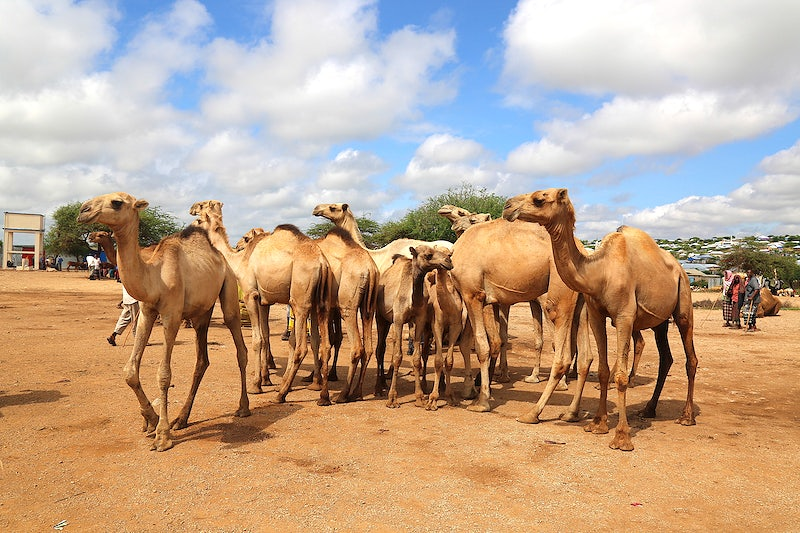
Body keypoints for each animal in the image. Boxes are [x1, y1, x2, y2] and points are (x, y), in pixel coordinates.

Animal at [77, 191, 250, 448]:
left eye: (116, 202)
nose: (82, 211)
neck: (154, 276)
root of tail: (222, 257)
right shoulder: (147, 311)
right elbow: (130, 371)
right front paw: (150, 419)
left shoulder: (172, 314)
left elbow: (164, 374)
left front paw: (162, 435)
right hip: (202, 313)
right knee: (202, 361)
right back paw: (182, 419)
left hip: (228, 288)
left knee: (239, 346)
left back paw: (243, 407)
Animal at [191, 200, 334, 404]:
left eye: (199, 219)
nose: (191, 214)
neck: (239, 260)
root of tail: (322, 262)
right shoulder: (264, 300)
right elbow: (266, 337)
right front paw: (265, 379)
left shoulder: (251, 295)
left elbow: (257, 340)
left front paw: (256, 385)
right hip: (320, 302)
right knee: (323, 344)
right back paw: (321, 393)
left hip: (300, 300)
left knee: (301, 346)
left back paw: (281, 394)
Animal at [376, 244, 454, 408]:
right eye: (428, 254)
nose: (448, 261)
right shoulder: (398, 319)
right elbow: (398, 357)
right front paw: (392, 399)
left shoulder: (419, 320)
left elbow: (417, 358)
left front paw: (419, 397)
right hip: (381, 317)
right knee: (380, 349)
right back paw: (379, 388)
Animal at [504, 189, 696, 450]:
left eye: (539, 199)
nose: (506, 206)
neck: (599, 272)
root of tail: (680, 268)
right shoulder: (595, 314)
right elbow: (603, 370)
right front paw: (598, 424)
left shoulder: (624, 316)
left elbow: (621, 376)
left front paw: (622, 436)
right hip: (659, 322)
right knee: (666, 358)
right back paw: (648, 409)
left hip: (684, 301)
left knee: (691, 358)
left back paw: (686, 416)